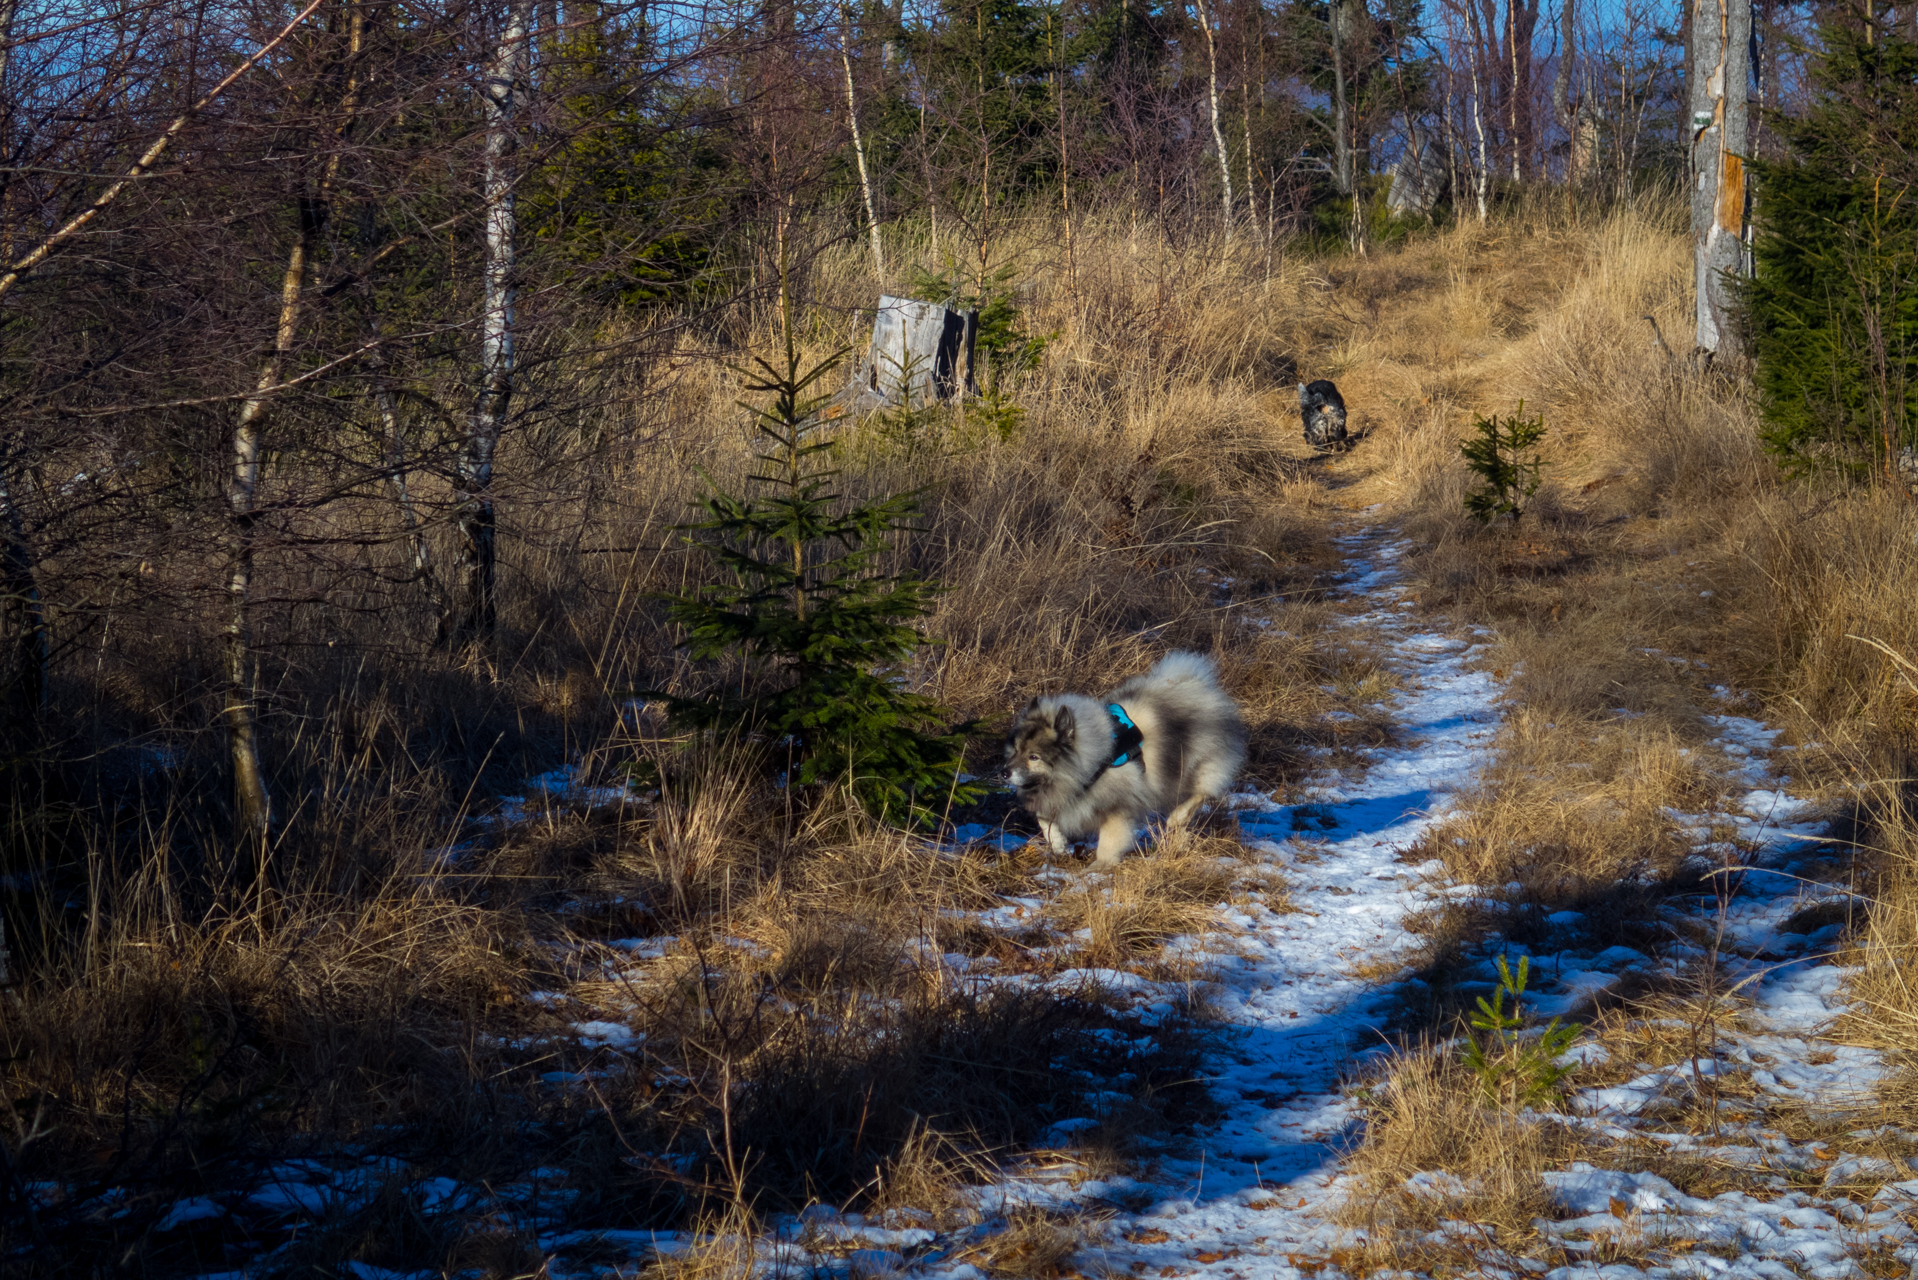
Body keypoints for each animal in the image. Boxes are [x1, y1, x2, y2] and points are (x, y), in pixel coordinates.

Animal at [997, 652, 1250, 871]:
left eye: (1034, 757)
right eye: (1016, 750)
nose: (1004, 773)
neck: (1094, 760)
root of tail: (1197, 686)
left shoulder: (1116, 807)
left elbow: (1109, 840)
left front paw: (1099, 866)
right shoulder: (1061, 797)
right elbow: (1044, 819)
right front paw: (1057, 843)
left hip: (1199, 764)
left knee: (1202, 792)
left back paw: (1178, 816)